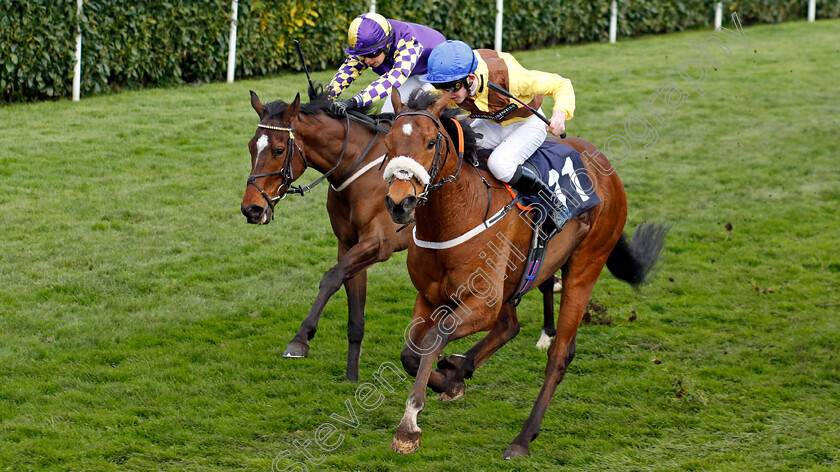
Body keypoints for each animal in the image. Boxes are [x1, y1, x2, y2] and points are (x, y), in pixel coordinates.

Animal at [240, 88, 560, 382]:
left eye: (279, 150)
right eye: (251, 147)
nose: (251, 209)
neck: (356, 169)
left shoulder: (377, 243)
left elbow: (330, 277)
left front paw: (300, 340)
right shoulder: (349, 245)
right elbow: (353, 311)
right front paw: (351, 375)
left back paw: (547, 333)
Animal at [384, 89, 668, 458]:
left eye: (431, 142)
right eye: (387, 142)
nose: (399, 203)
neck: (456, 214)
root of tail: (607, 169)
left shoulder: (483, 303)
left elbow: (433, 339)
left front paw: (409, 427)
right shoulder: (430, 296)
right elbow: (409, 353)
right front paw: (448, 378)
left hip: (585, 268)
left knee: (559, 355)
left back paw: (522, 437)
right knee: (509, 326)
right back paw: (460, 368)